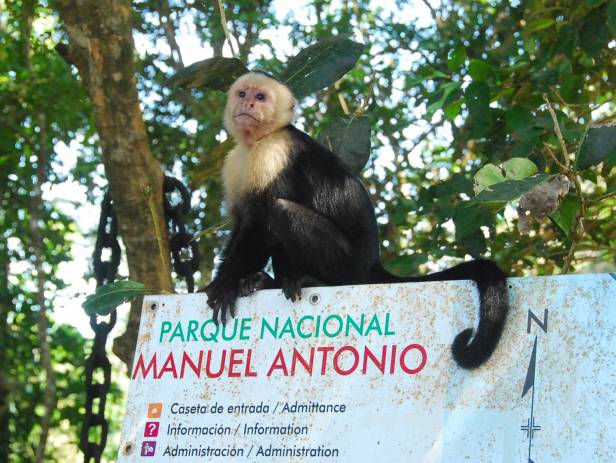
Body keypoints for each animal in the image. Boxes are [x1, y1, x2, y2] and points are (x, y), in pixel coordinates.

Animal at [203, 71, 510, 370]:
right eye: (242, 93)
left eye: (261, 97)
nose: (247, 104)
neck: (259, 140)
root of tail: (373, 264)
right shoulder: (236, 162)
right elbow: (242, 220)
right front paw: (219, 282)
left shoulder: (275, 154)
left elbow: (260, 222)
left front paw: (224, 286)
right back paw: (269, 282)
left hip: (347, 264)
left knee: (280, 211)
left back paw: (312, 282)